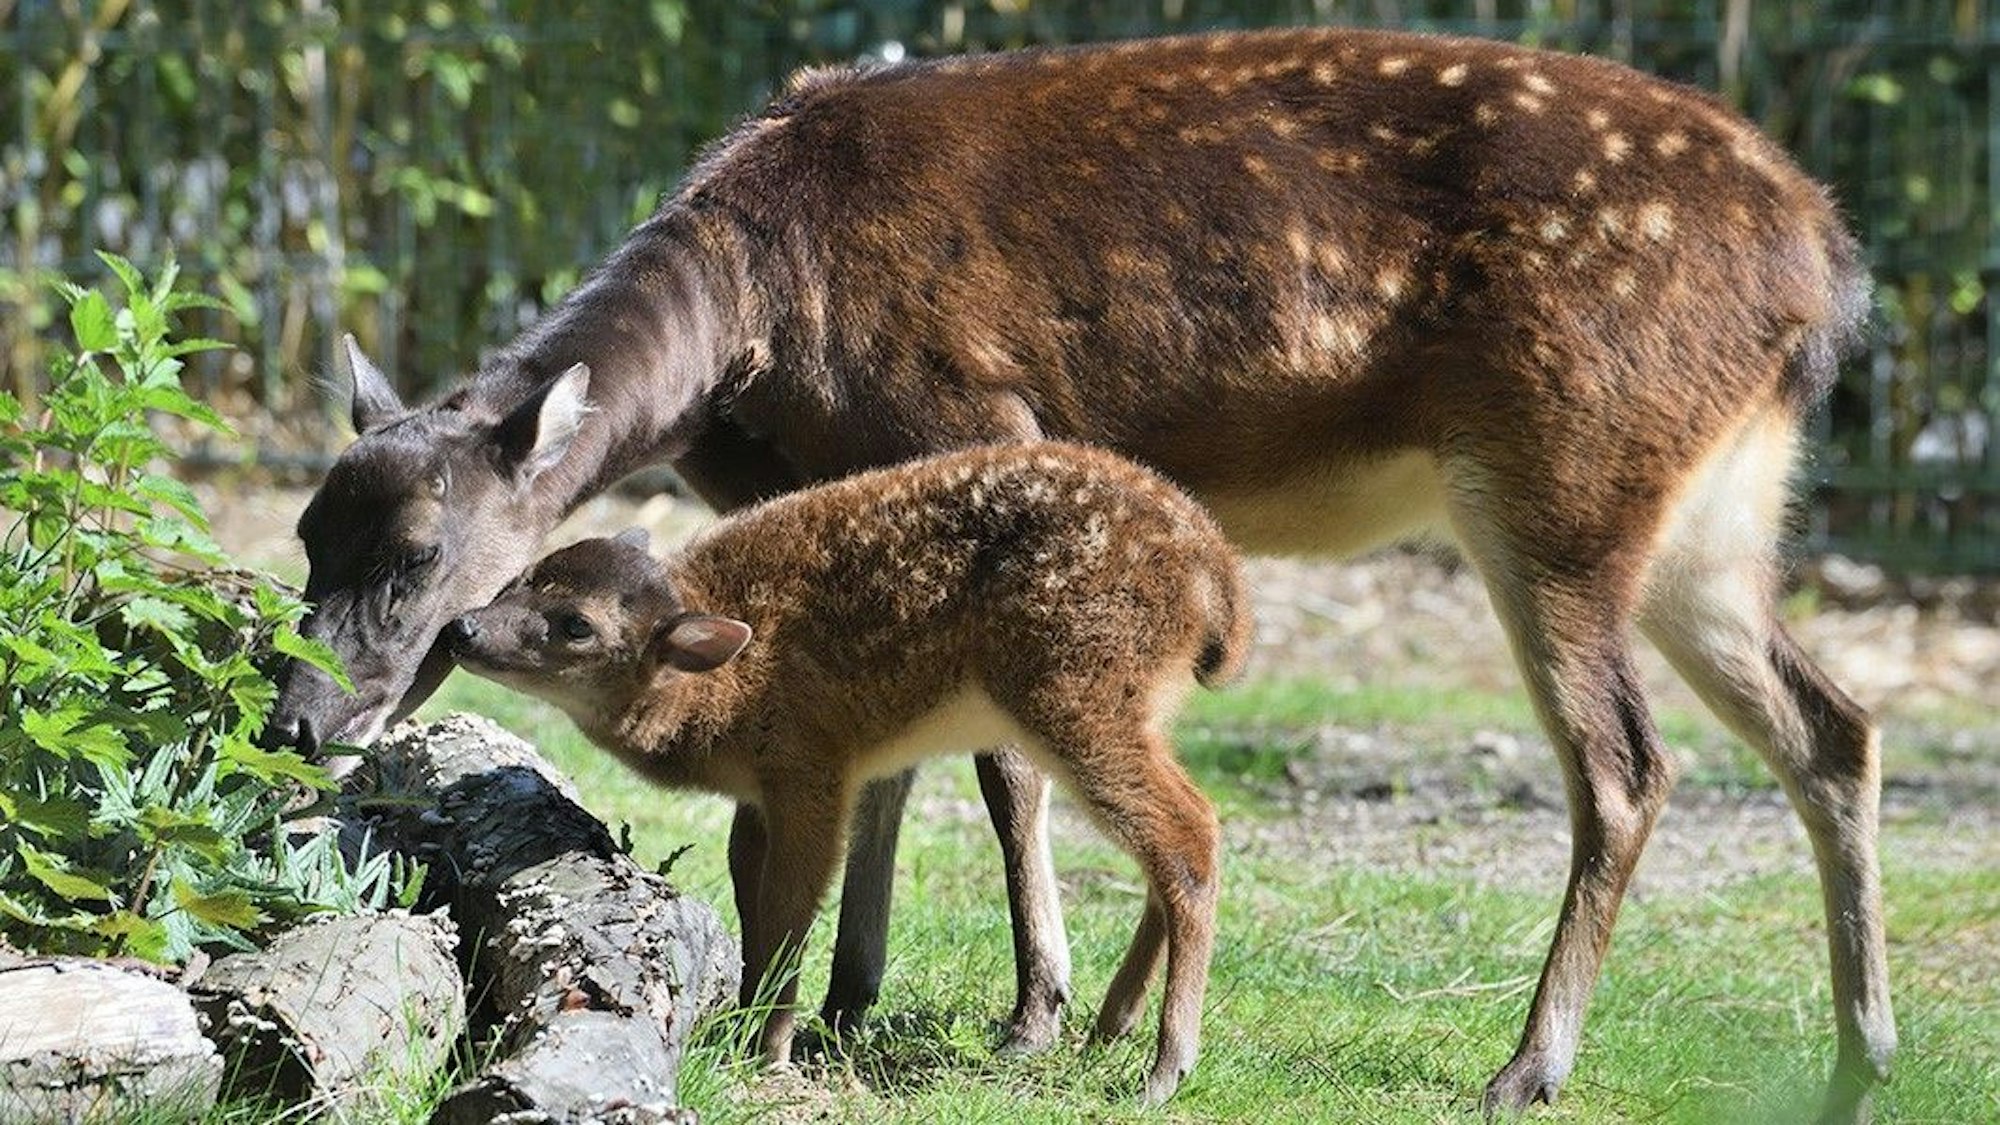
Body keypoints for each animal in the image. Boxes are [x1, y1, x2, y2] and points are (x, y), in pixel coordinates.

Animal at [444, 442, 1248, 1106]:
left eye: (576, 625)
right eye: (527, 574)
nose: (461, 627)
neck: (721, 683)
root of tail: (1216, 578)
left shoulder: (811, 766)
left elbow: (793, 903)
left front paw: (768, 1051)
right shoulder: (761, 793)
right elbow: (750, 891)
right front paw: (746, 1023)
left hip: (1076, 688)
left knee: (1189, 832)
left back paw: (1164, 1068)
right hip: (1132, 704)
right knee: (1176, 832)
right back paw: (1111, 1024)